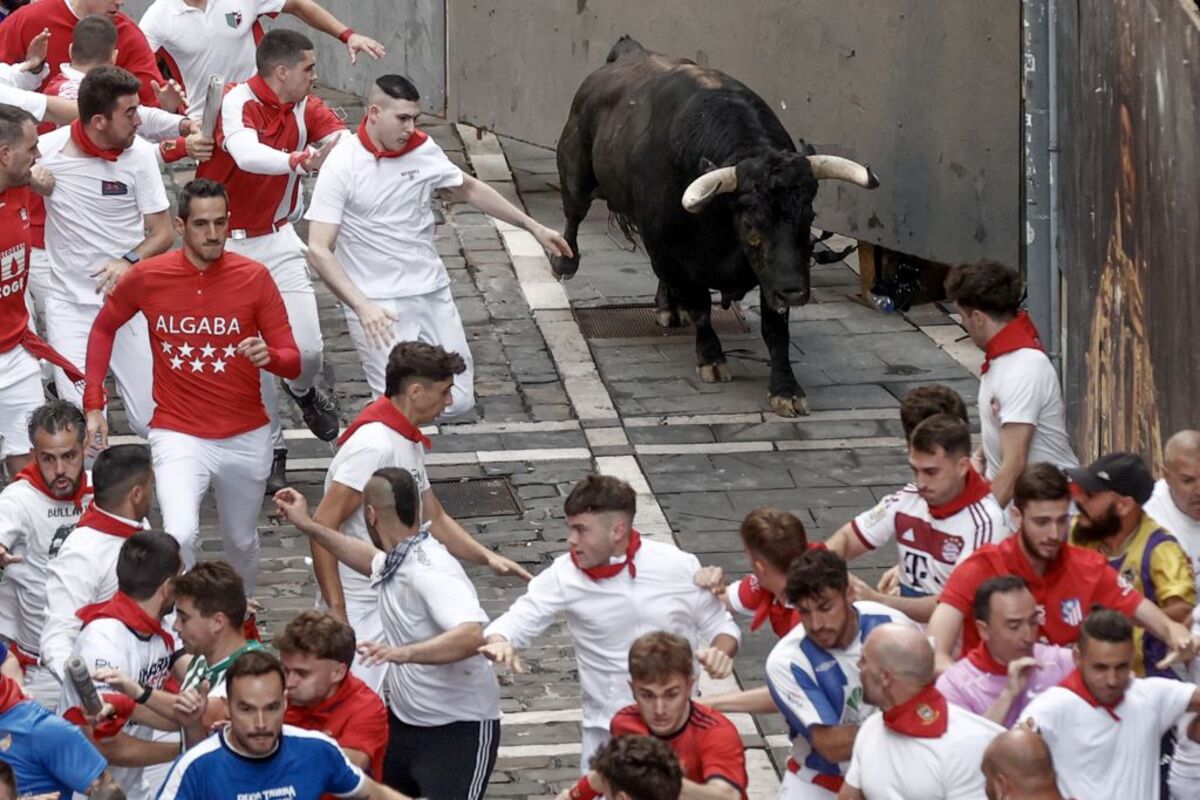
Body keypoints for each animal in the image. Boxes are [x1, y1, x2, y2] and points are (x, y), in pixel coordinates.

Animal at [549, 38, 878, 419]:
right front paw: (712, 358)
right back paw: (566, 262)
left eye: (809, 216)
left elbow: (775, 329)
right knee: (573, 214)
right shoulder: (673, 252)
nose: (796, 292)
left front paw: (786, 390)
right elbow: (700, 308)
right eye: (751, 223)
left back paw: (667, 307)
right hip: (576, 168)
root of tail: (627, 52)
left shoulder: (772, 275)